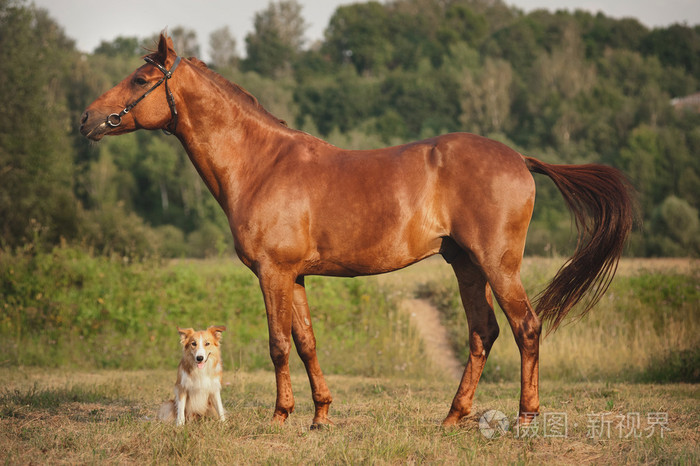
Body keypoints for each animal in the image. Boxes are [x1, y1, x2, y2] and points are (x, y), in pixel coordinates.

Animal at [80, 35, 636, 430]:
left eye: (139, 78)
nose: (87, 118)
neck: (261, 164)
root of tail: (519, 158)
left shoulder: (272, 273)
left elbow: (278, 343)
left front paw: (280, 416)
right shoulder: (295, 276)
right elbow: (306, 342)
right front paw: (320, 416)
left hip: (498, 265)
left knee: (526, 328)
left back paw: (525, 418)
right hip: (466, 265)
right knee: (484, 333)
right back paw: (452, 417)